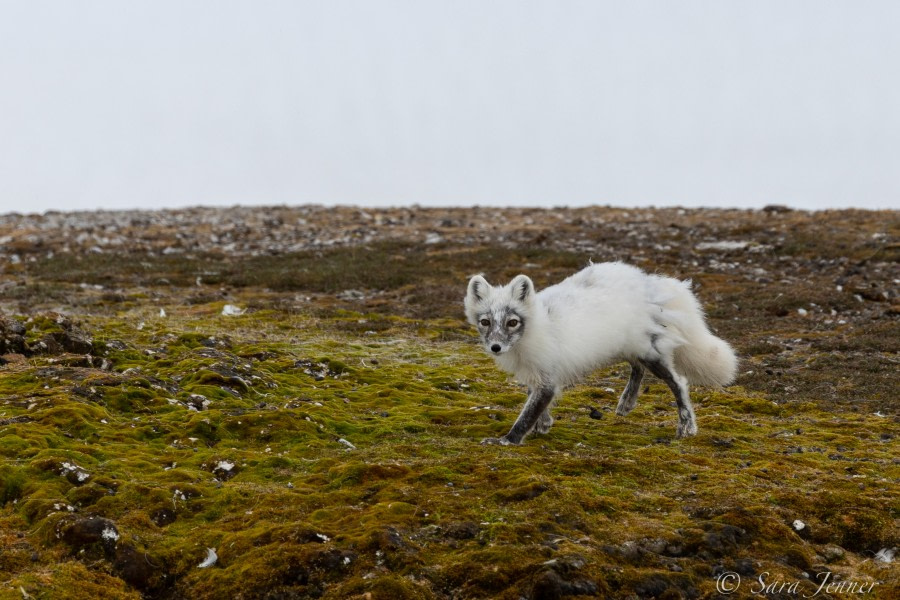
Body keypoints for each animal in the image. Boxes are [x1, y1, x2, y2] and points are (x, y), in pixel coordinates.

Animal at [464, 262, 740, 446]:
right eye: (486, 322)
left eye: (512, 322)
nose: (495, 347)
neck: (535, 328)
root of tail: (649, 281)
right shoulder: (537, 376)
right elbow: (534, 403)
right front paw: (543, 424)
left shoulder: (548, 379)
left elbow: (527, 413)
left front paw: (509, 440)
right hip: (625, 346)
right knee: (637, 368)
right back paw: (627, 402)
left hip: (648, 351)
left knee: (679, 382)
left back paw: (686, 426)